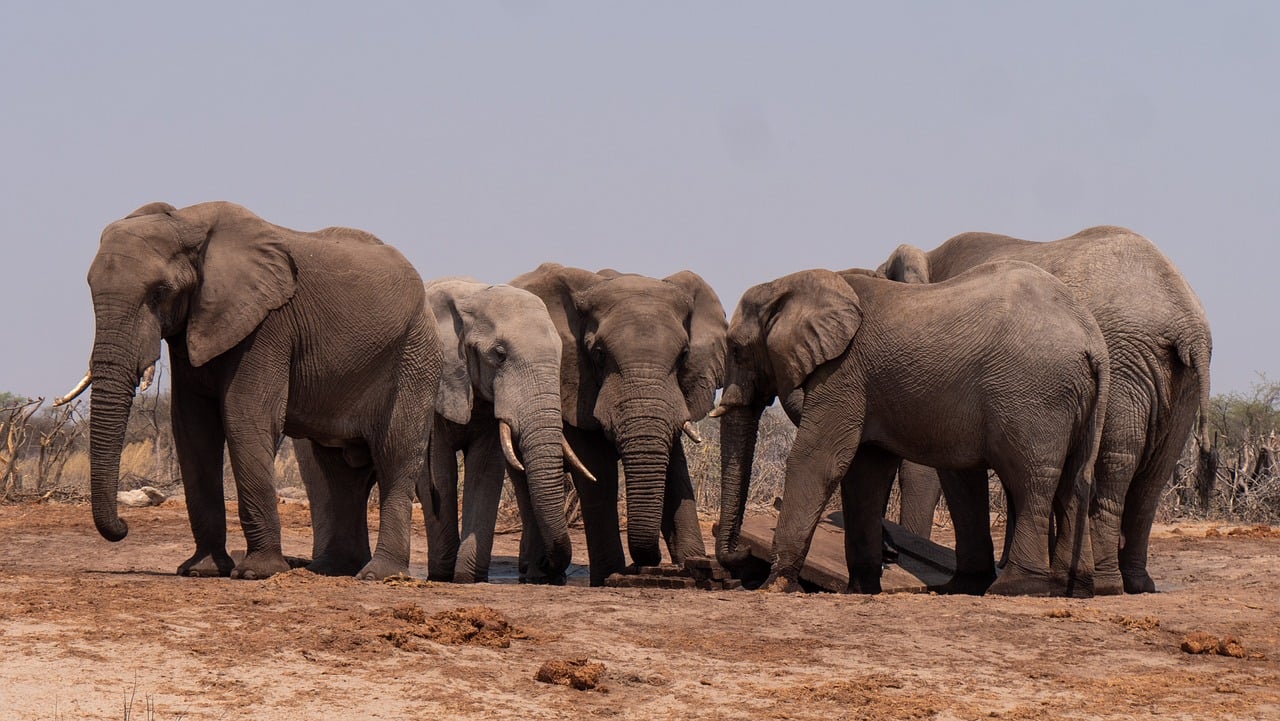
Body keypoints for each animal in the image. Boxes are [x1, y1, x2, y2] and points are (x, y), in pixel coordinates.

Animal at [65, 201, 441, 580]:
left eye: (160, 291)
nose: (124, 526)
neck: (188, 222)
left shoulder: (267, 325)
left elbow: (245, 418)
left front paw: (256, 573)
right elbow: (193, 431)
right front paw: (201, 570)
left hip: (414, 355)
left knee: (395, 453)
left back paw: (379, 574)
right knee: (339, 470)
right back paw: (332, 569)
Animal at [418, 278, 592, 584]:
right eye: (499, 355)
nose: (547, 565)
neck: (472, 297)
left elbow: (485, 470)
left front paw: (468, 577)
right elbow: (439, 471)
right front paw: (442, 575)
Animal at [510, 263, 727, 586]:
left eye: (684, 355)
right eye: (599, 354)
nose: (651, 562)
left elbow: (674, 467)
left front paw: (694, 566)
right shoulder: (576, 382)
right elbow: (596, 468)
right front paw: (610, 575)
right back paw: (537, 573)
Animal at [713, 262, 1109, 597]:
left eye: (736, 349)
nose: (743, 551)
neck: (788, 284)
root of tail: (1091, 339)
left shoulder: (843, 373)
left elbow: (819, 460)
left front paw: (776, 585)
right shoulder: (865, 384)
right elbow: (865, 474)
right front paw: (861, 589)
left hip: (1035, 395)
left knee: (1031, 481)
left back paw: (1014, 587)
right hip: (1073, 398)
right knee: (1074, 481)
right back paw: (1072, 588)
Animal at [879, 226, 1212, 594]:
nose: (892, 554)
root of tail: (1188, 322)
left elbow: (937, 465)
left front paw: (964, 583)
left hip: (1126, 362)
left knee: (1114, 462)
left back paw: (1105, 584)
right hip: (1179, 380)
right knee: (1153, 476)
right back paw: (1135, 584)